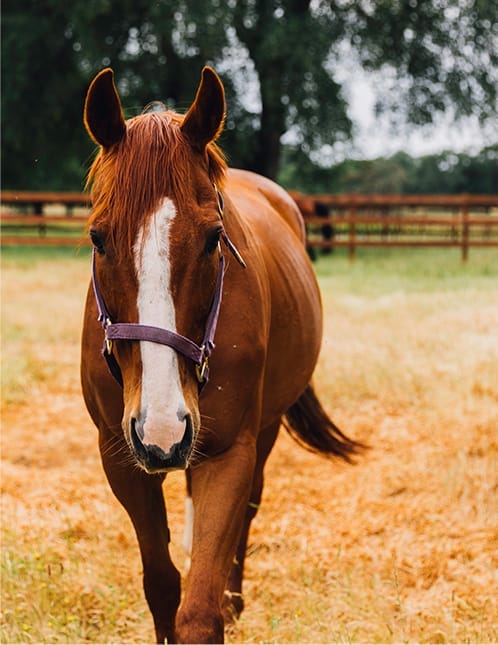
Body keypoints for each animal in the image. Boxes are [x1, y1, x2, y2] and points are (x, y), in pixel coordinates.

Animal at [81, 66, 362, 644]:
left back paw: (235, 599)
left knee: (249, 510)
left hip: (264, 427)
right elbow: (163, 585)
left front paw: (220, 606)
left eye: (215, 238)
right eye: (98, 238)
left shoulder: (230, 451)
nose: (161, 428)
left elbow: (199, 612)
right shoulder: (120, 456)